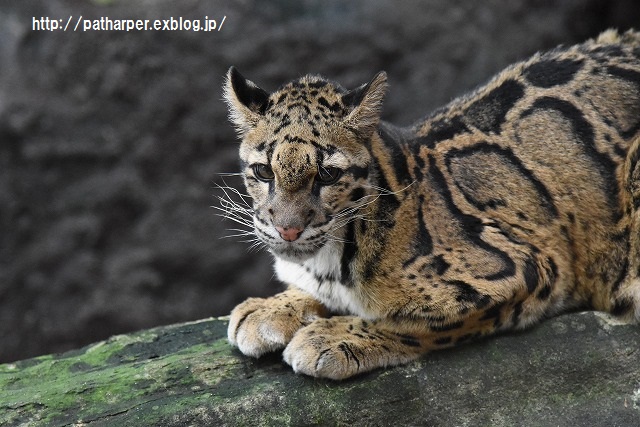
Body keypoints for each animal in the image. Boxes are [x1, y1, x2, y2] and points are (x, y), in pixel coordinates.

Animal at [222, 29, 640, 382]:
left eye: (326, 175)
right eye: (263, 171)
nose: (287, 229)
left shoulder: (531, 266)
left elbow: (416, 323)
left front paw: (334, 337)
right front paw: (271, 307)